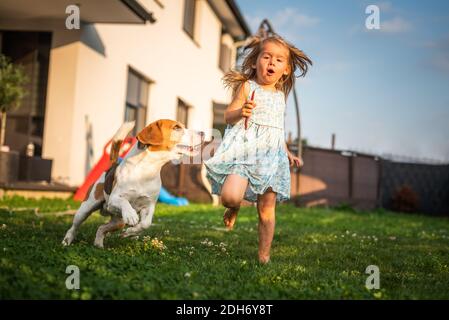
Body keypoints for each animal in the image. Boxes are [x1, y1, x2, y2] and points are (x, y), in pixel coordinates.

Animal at [62, 119, 204, 248]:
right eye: (176, 127)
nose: (203, 133)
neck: (147, 169)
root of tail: (113, 165)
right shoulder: (114, 199)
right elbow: (125, 203)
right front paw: (131, 216)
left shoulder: (149, 205)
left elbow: (145, 224)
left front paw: (130, 233)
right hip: (86, 208)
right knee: (74, 226)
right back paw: (67, 240)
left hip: (118, 222)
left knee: (101, 228)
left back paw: (98, 244)